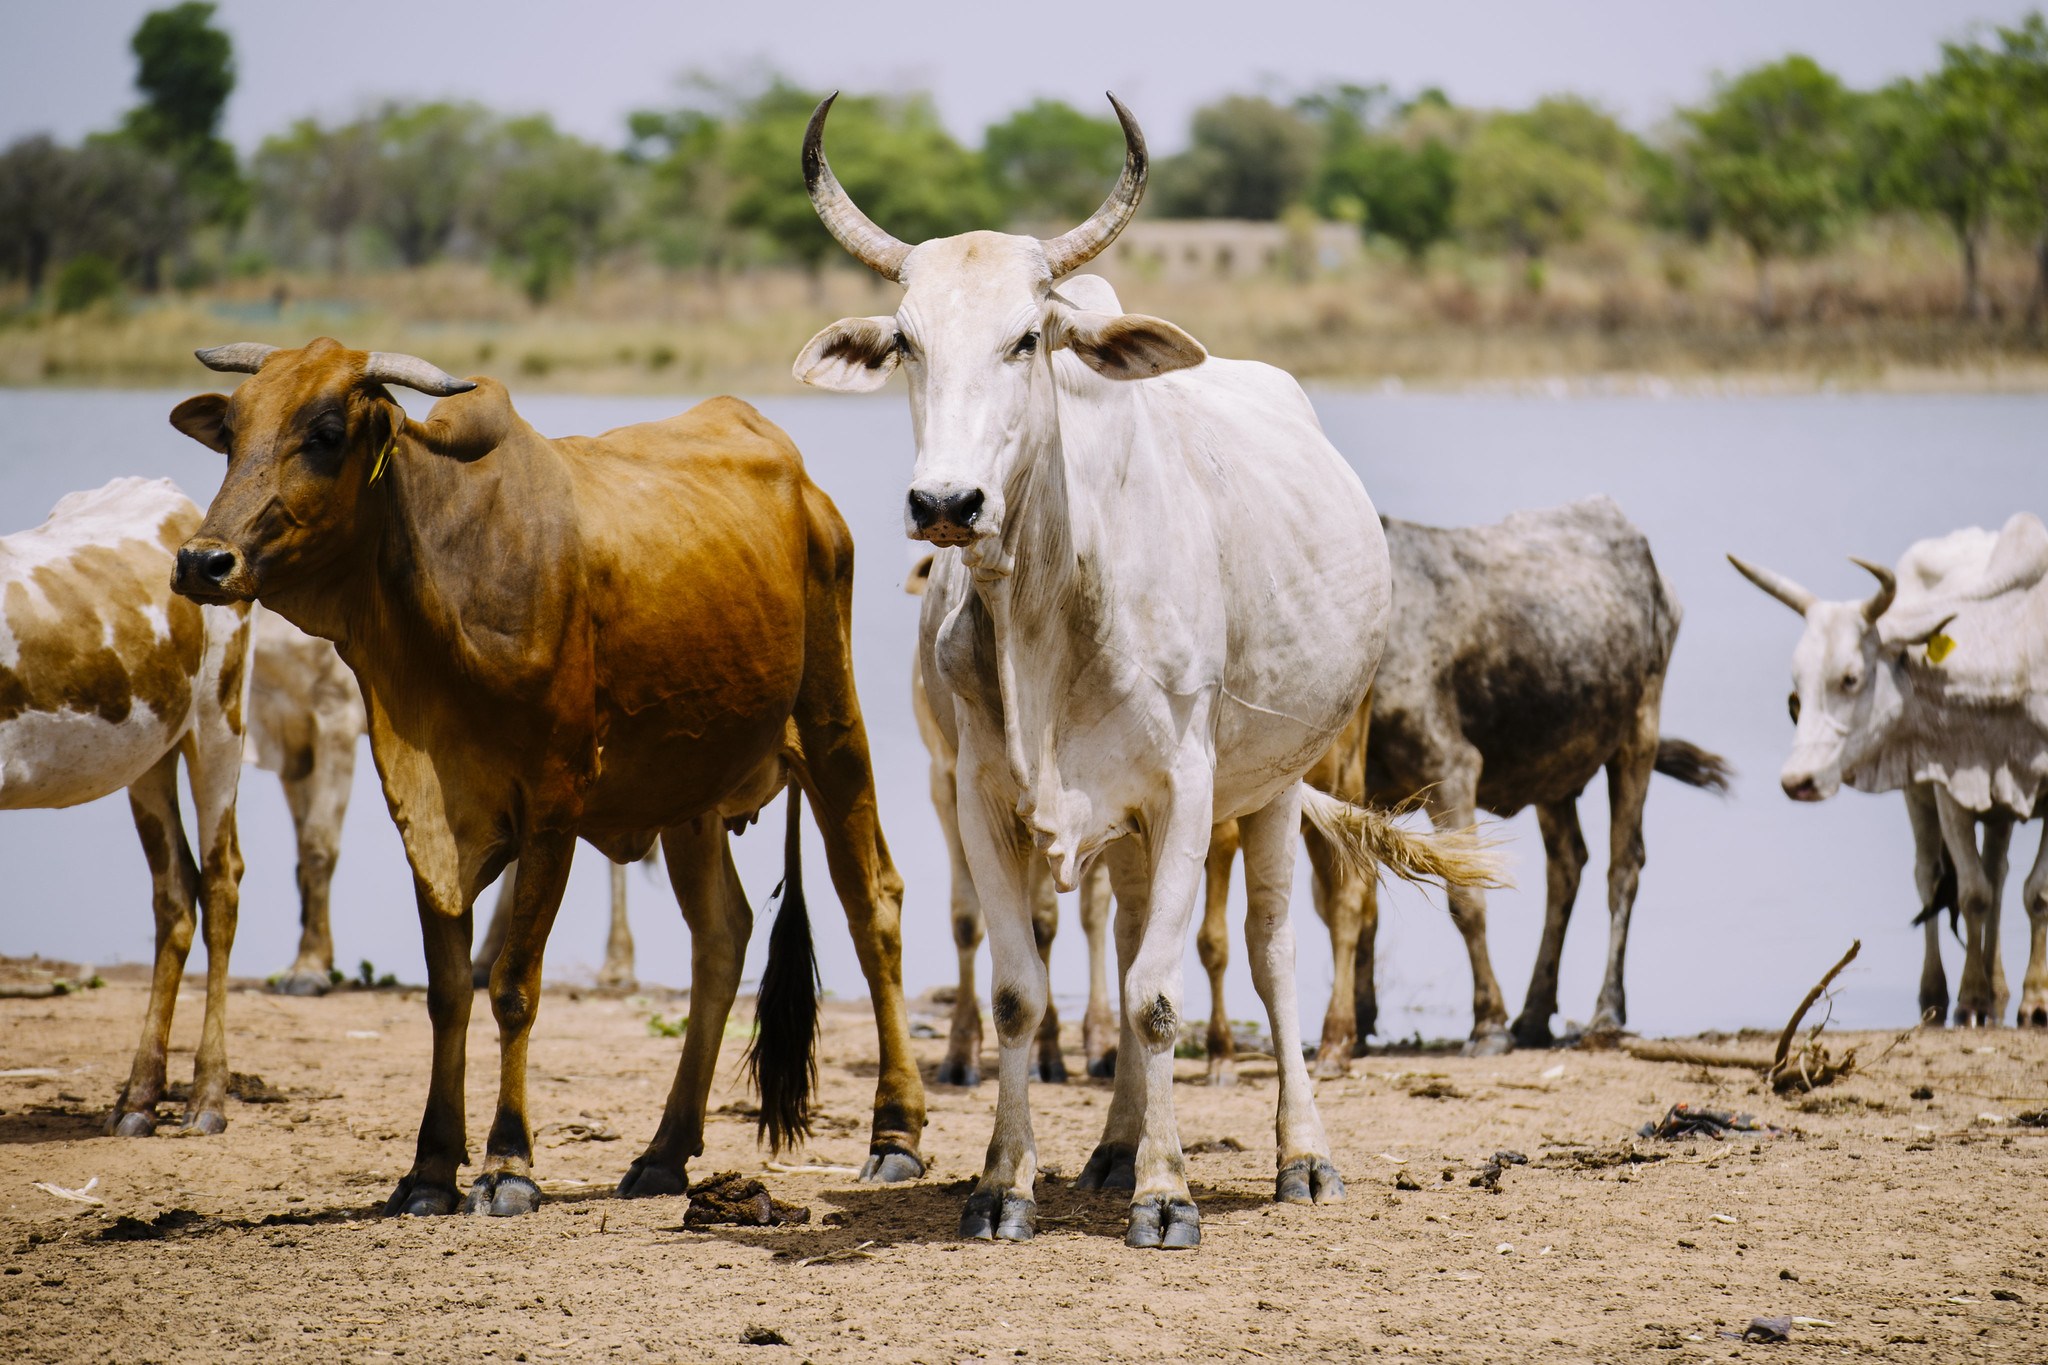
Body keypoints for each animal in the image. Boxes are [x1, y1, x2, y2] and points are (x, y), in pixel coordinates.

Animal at [0, 474, 253, 1137]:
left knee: (220, 880)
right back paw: (139, 1096)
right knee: (174, 892)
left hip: (218, 717)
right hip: (148, 751)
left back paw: (207, 1098)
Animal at [167, 341, 921, 1219]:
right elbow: (447, 992)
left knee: (873, 903)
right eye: (232, 432)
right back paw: (665, 1151)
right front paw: (430, 1167)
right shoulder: (425, 816)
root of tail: (806, 488)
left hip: (833, 729)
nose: (203, 560)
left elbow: (512, 985)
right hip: (689, 790)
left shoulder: (554, 804)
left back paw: (895, 1134)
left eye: (324, 433)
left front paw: (507, 1163)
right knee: (722, 935)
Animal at [790, 93, 1499, 1252]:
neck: (1051, 605)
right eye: (906, 343)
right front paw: (1005, 1184)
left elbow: (1163, 997)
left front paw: (1168, 1193)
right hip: (1127, 823)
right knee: (1123, 942)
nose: (946, 503)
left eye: (1026, 337)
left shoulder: (1189, 786)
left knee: (1268, 951)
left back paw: (1299, 1155)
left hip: (1272, 784)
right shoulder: (983, 794)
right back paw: (1115, 1147)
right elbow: (1025, 995)